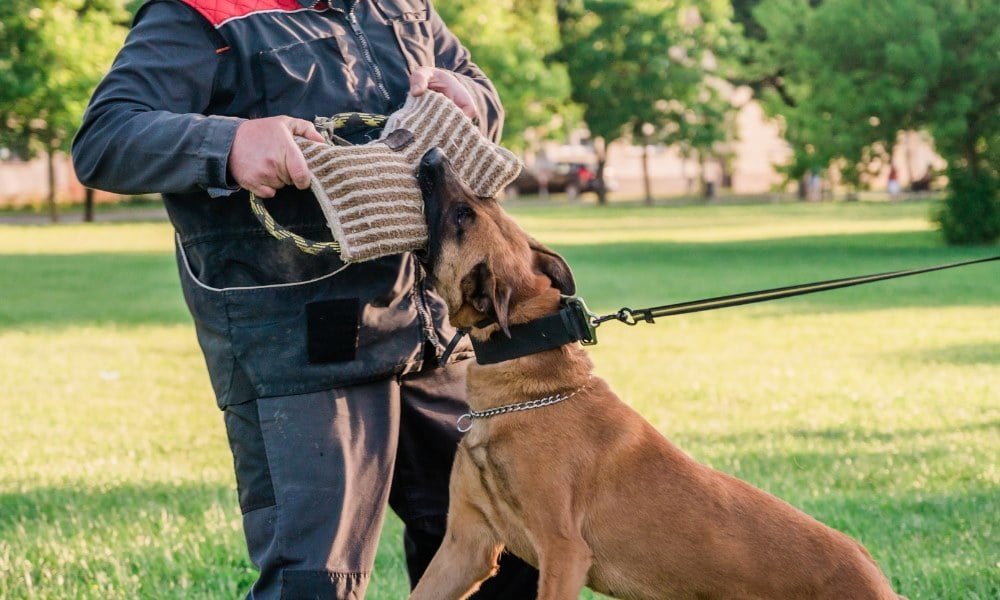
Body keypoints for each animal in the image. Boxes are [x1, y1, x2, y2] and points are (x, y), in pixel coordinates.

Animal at [410, 148, 904, 596]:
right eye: (482, 203)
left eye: (464, 214)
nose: (432, 155)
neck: (530, 392)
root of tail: (879, 582)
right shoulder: (465, 547)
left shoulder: (562, 551)